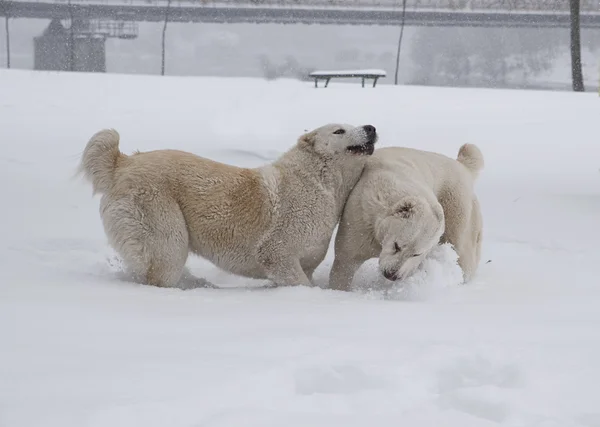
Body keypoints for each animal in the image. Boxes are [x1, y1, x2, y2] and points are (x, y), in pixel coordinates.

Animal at [77, 124, 378, 290]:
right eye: (339, 130)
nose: (371, 127)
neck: (319, 181)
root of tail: (122, 163)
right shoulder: (277, 251)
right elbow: (295, 277)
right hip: (161, 223)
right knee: (162, 268)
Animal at [328, 144, 482, 290]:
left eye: (416, 254)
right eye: (397, 245)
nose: (391, 274)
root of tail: (463, 167)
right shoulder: (361, 218)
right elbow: (346, 261)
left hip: (458, 207)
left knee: (462, 251)